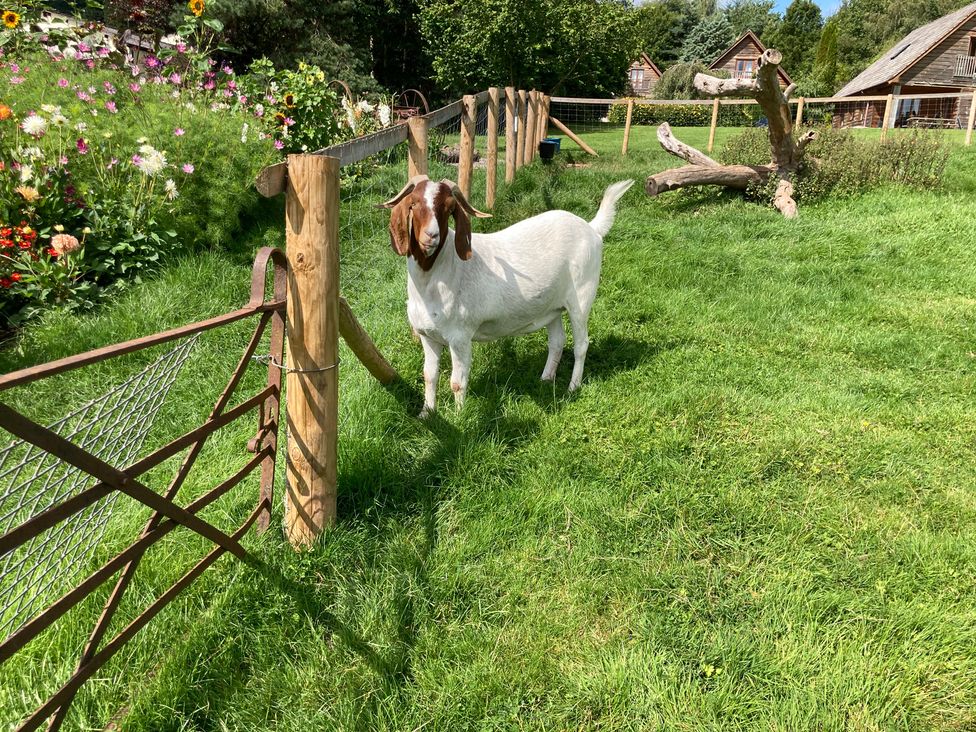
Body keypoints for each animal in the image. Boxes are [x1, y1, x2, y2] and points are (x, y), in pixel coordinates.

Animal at [380, 175, 634, 417]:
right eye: (413, 203)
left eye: (450, 208)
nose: (431, 236)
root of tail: (592, 229)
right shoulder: (427, 335)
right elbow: (429, 375)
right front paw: (426, 413)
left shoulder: (460, 336)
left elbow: (457, 383)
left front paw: (459, 418)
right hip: (552, 306)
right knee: (557, 341)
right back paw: (546, 379)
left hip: (582, 296)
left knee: (581, 344)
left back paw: (573, 387)